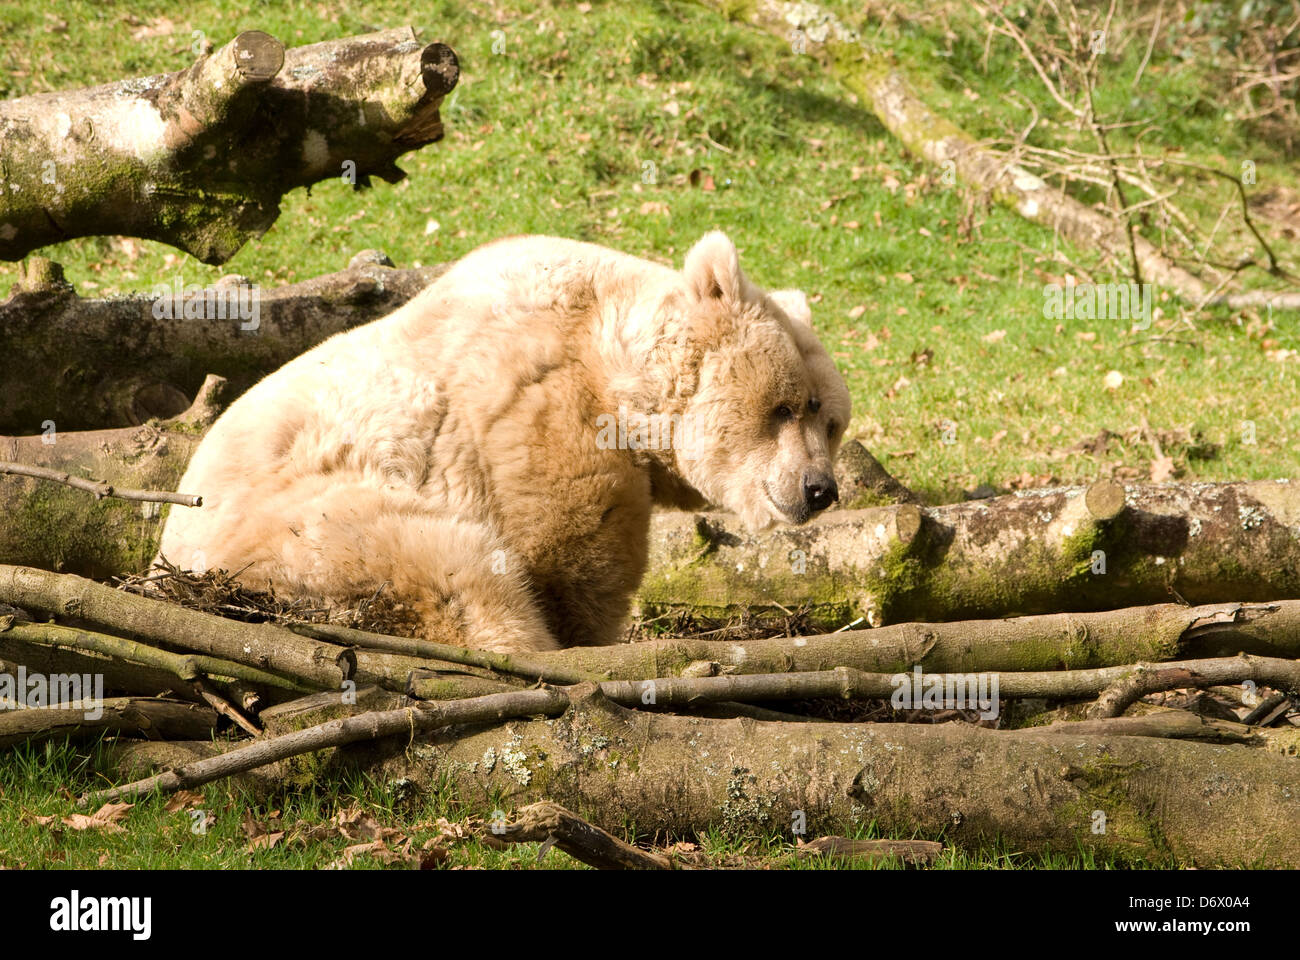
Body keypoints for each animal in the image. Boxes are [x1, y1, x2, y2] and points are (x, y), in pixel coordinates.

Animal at [157, 231, 852, 650]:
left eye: (831, 421)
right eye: (785, 406)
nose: (819, 489)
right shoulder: (540, 404)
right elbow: (568, 551)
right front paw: (583, 639)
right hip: (306, 531)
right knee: (455, 572)